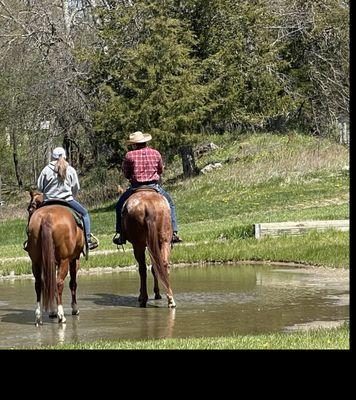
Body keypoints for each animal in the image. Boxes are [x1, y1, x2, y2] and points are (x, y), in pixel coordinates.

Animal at [26, 190, 85, 324]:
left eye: (30, 208)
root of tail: (47, 217)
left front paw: (52, 311)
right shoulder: (74, 259)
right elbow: (73, 283)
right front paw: (75, 308)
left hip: (36, 262)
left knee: (39, 283)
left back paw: (39, 316)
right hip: (64, 261)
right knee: (59, 283)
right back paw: (61, 315)